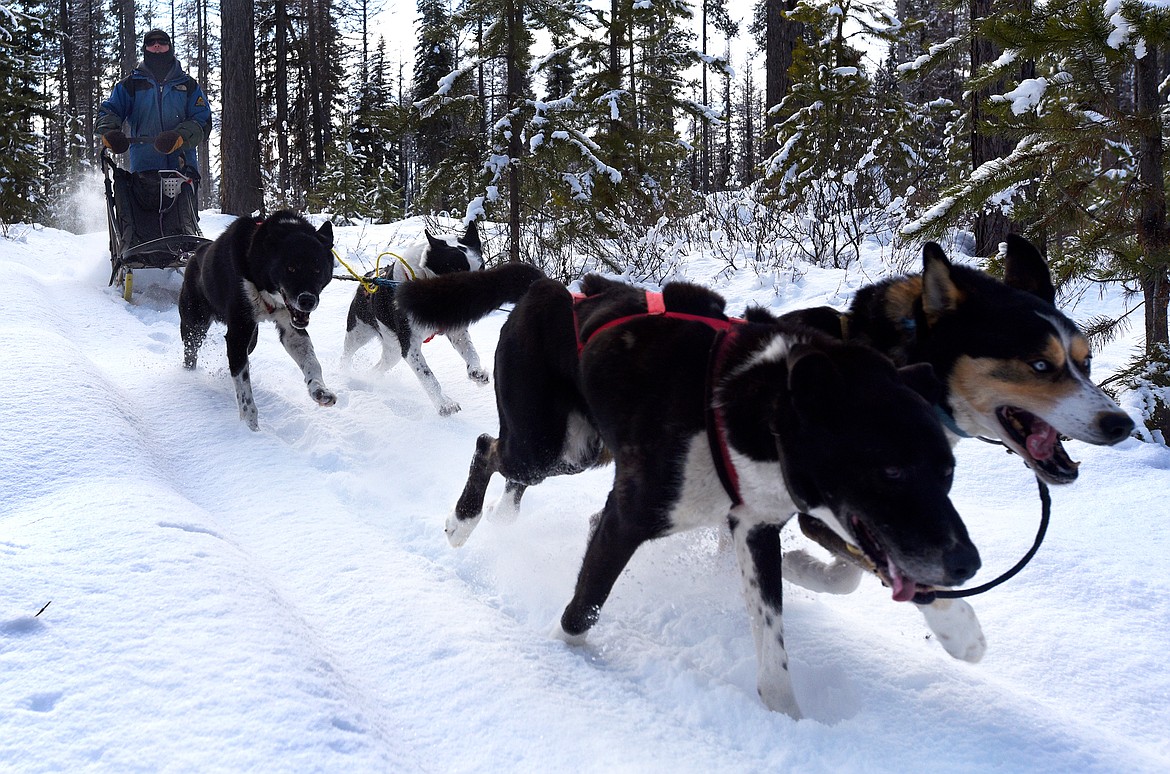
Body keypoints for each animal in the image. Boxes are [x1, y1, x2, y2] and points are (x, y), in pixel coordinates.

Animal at [177, 209, 336, 432]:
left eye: (317, 269)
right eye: (291, 268)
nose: (307, 300)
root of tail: (193, 256)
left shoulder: (291, 328)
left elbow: (312, 362)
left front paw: (319, 390)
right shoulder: (238, 333)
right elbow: (245, 393)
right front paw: (252, 429)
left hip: (252, 338)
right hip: (195, 326)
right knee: (191, 351)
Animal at [339, 220, 538, 418]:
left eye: (481, 269)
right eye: (456, 270)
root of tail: (368, 278)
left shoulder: (456, 331)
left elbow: (471, 351)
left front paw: (476, 371)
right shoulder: (410, 346)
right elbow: (428, 376)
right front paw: (445, 404)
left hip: (392, 351)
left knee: (378, 368)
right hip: (359, 333)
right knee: (346, 355)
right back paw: (345, 374)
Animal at [446, 275, 978, 720]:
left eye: (948, 473)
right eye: (892, 470)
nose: (967, 564)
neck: (749, 411)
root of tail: (546, 286)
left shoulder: (754, 528)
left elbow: (772, 644)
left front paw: (788, 720)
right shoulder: (629, 517)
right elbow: (582, 610)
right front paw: (562, 654)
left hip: (576, 450)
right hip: (546, 446)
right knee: (486, 448)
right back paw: (462, 523)